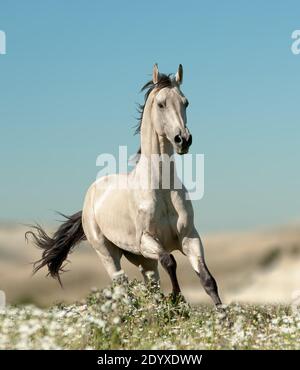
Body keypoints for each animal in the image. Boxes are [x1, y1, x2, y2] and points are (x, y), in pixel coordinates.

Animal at [27, 64, 221, 306]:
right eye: (161, 104)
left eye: (185, 102)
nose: (183, 140)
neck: (162, 190)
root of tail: (91, 196)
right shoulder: (146, 241)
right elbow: (170, 260)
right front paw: (177, 298)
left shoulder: (190, 238)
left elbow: (207, 280)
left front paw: (223, 315)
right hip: (110, 254)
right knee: (122, 287)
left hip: (142, 260)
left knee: (151, 286)